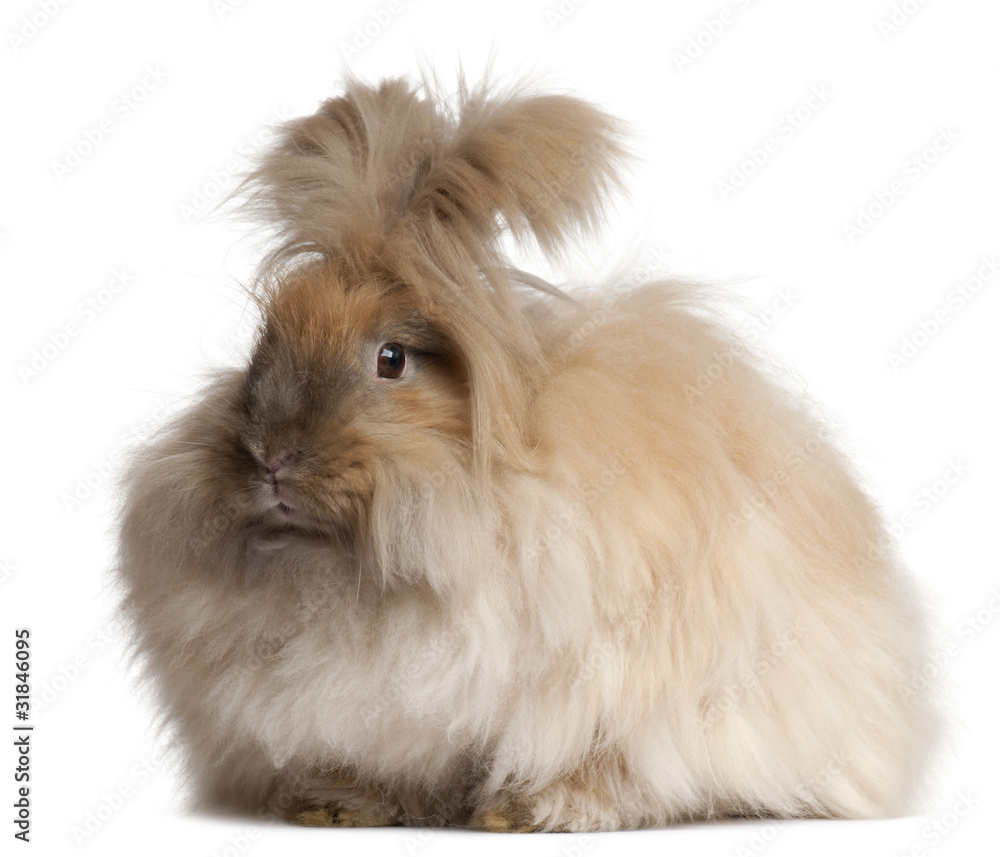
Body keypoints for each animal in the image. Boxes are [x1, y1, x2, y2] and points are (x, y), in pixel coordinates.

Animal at [115, 75, 936, 828]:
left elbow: (607, 754)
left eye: (391, 359)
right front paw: (337, 803)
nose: (271, 457)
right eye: (261, 344)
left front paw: (528, 808)